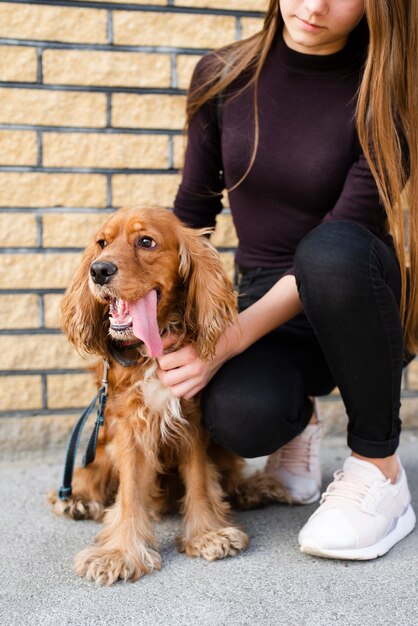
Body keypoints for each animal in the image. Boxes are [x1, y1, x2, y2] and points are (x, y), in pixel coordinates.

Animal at [49, 207, 288, 584]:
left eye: (146, 241)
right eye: (102, 243)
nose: (98, 270)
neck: (153, 349)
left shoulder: (191, 419)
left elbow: (200, 479)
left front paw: (207, 534)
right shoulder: (129, 426)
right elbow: (130, 491)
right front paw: (120, 553)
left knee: (227, 476)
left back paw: (254, 490)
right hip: (101, 437)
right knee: (92, 472)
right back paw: (78, 499)